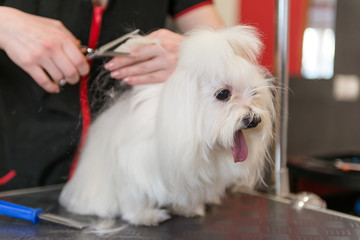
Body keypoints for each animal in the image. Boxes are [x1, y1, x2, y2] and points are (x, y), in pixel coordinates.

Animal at [60, 26, 278, 227]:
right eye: (223, 94)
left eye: (254, 93)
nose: (253, 119)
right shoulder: (134, 168)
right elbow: (135, 198)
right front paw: (144, 216)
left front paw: (187, 209)